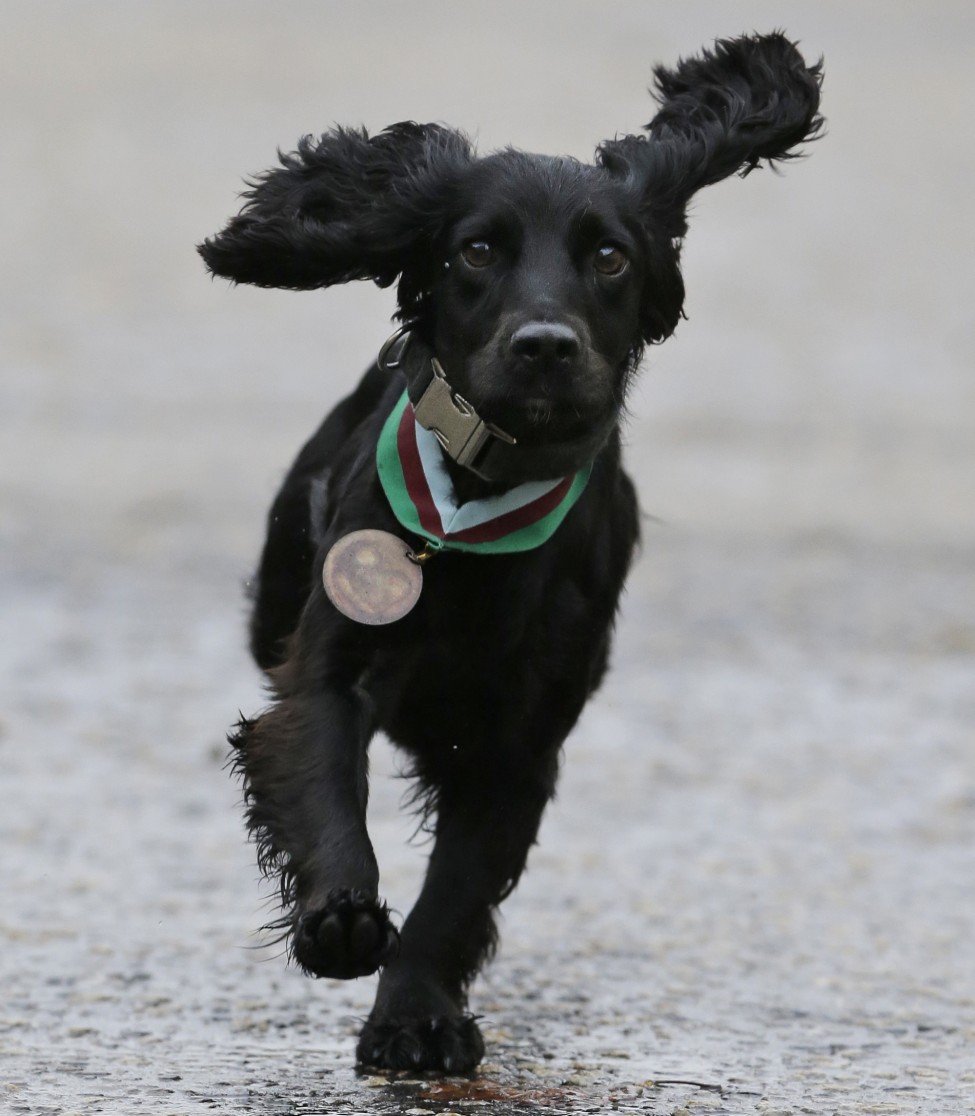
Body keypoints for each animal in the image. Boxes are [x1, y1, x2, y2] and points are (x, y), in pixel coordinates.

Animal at [199, 32, 821, 1071]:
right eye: (477, 249)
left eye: (609, 255)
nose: (543, 345)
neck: (472, 515)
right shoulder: (331, 661)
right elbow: (322, 774)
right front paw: (339, 919)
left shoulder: (518, 740)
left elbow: (455, 890)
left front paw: (416, 1015)